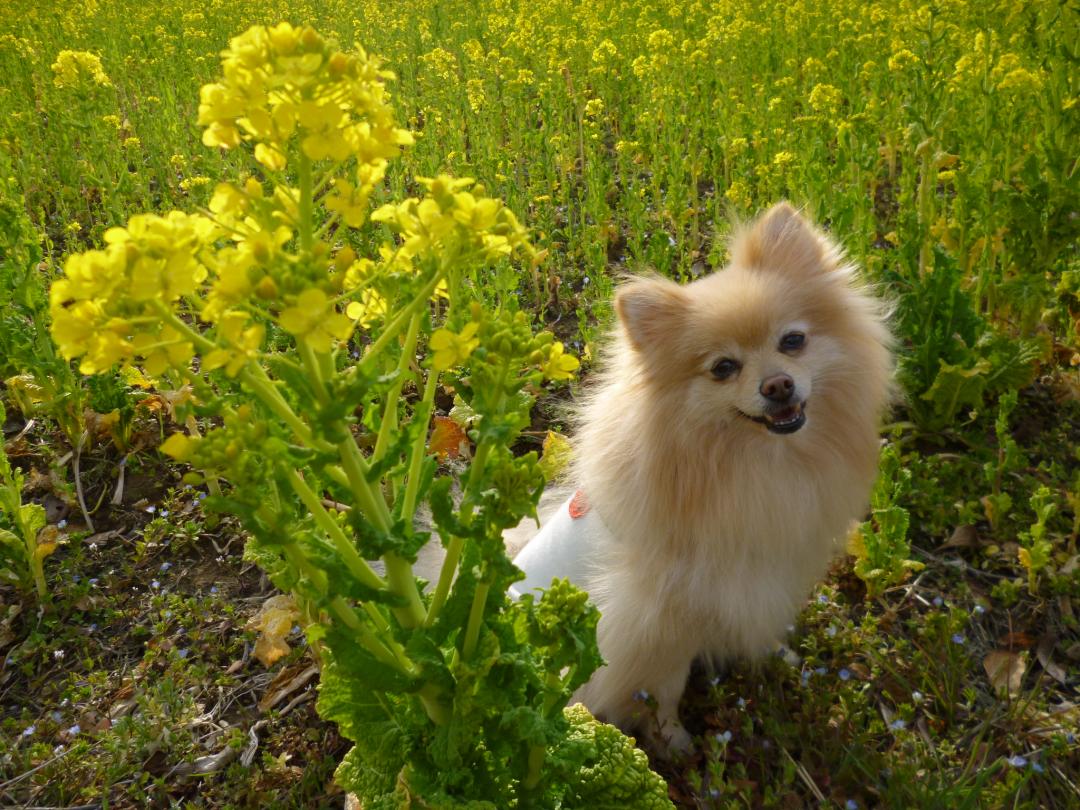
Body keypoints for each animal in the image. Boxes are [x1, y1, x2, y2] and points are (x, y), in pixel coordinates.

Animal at [505, 203, 894, 756]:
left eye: (793, 341)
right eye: (723, 368)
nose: (778, 385)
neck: (757, 464)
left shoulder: (755, 577)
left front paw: (780, 655)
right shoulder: (659, 623)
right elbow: (663, 689)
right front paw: (674, 741)